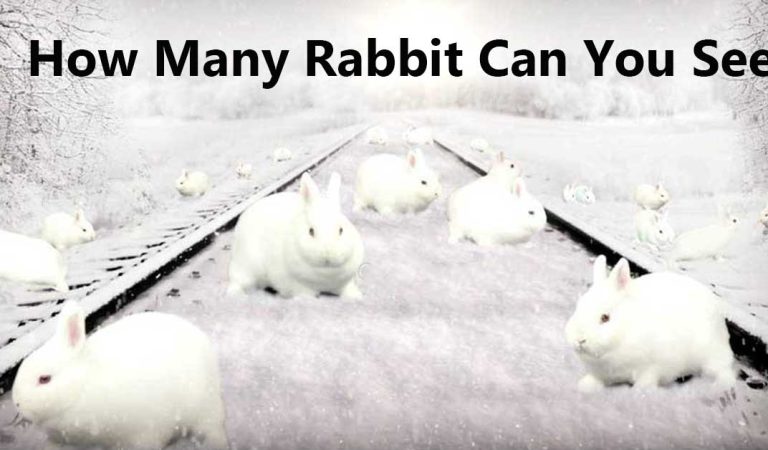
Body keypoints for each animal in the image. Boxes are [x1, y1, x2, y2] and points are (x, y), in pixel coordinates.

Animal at [228, 172, 364, 298]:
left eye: (341, 230)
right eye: (311, 231)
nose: (328, 254)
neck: (326, 273)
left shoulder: (344, 283)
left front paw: (356, 296)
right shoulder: (298, 286)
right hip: (247, 268)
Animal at [565, 256, 735, 392]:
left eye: (605, 317)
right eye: (578, 307)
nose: (579, 339)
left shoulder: (651, 368)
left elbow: (645, 383)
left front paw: (640, 393)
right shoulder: (600, 374)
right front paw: (584, 387)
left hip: (711, 357)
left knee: (726, 372)